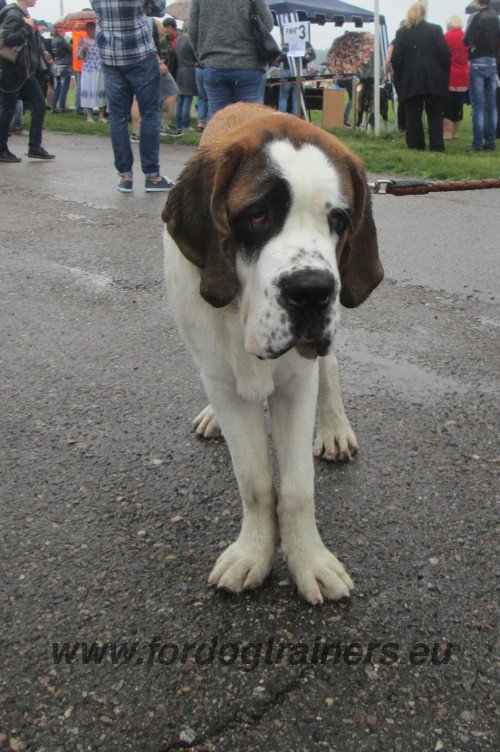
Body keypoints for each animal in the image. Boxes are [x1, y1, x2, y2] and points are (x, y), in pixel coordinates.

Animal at [162, 103, 380, 604]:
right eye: (258, 215)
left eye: (339, 220)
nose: (313, 291)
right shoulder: (225, 382)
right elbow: (256, 483)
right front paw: (254, 554)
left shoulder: (297, 383)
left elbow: (297, 487)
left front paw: (309, 561)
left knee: (329, 370)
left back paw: (334, 428)